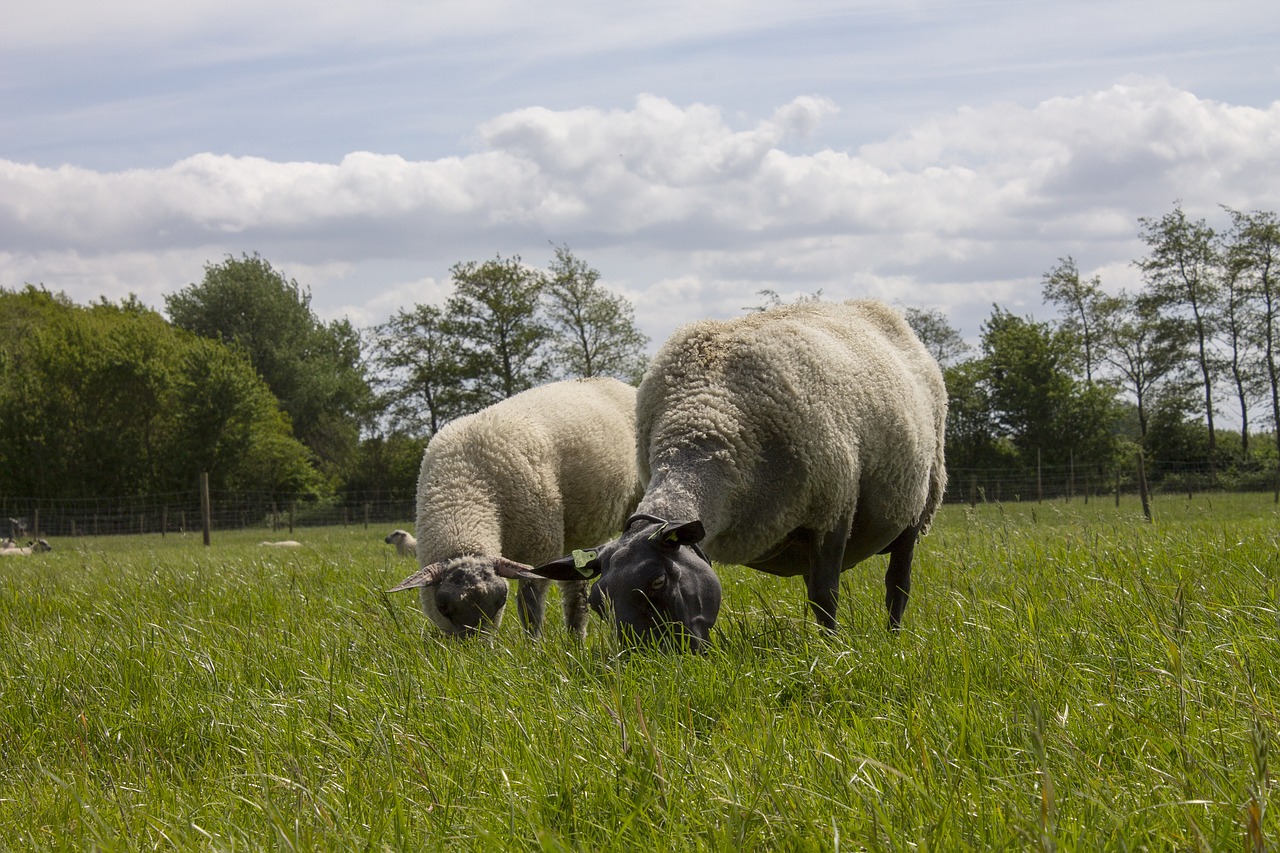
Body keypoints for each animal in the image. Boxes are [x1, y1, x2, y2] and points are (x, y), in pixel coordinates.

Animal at [384, 373, 645, 637]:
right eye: (443, 606)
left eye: (500, 601)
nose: (476, 647)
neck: (462, 486)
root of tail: (614, 381)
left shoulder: (539, 550)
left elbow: (530, 609)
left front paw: (533, 644)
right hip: (578, 535)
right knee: (576, 590)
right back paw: (575, 638)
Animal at [519, 300, 952, 650]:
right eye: (598, 603)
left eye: (658, 583)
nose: (646, 665)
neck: (702, 421)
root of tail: (881, 310)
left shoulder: (832, 509)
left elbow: (824, 596)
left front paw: (832, 650)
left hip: (918, 509)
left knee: (897, 585)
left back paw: (893, 637)